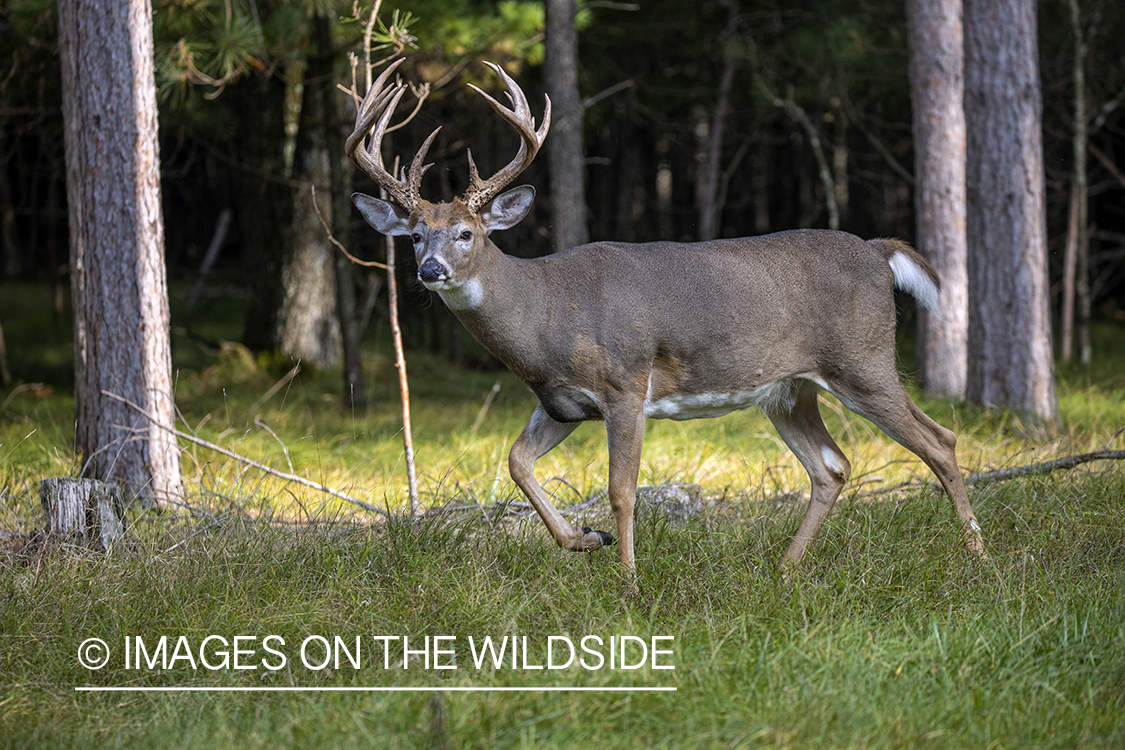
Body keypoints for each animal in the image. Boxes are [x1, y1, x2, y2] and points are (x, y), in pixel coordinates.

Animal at [348, 61, 985, 571]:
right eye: (414, 235)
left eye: (467, 232)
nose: (430, 270)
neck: (545, 316)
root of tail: (879, 252)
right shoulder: (559, 402)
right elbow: (516, 462)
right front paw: (585, 540)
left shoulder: (625, 383)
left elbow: (622, 490)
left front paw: (628, 582)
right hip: (790, 389)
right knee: (832, 466)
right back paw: (785, 569)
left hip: (863, 359)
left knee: (940, 440)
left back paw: (977, 555)